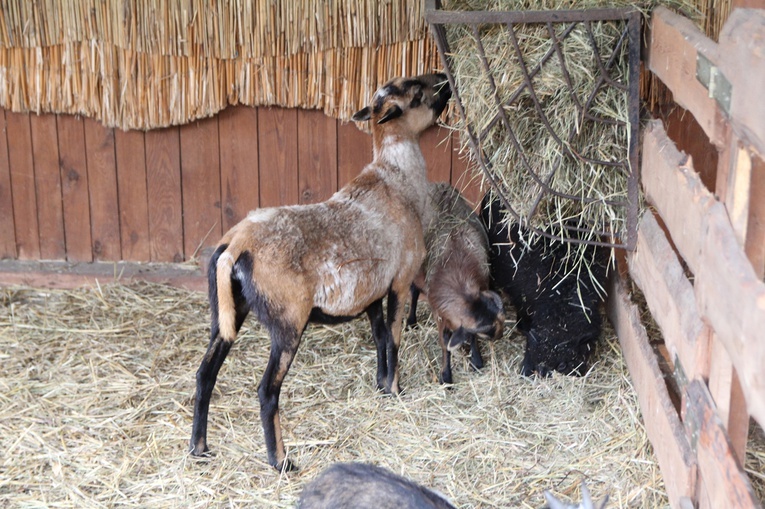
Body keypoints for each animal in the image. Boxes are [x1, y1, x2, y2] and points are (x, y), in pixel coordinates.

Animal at [189, 73, 450, 470]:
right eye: (417, 92)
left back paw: (199, 449)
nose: (445, 78)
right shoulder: (400, 280)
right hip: (288, 321)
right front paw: (395, 389)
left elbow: (379, 337)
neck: (396, 181)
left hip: (227, 311)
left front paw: (380, 385)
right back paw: (281, 461)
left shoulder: (371, 291)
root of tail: (237, 244)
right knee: (267, 390)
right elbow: (394, 338)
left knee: (205, 374)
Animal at [402, 181, 504, 382]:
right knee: (414, 290)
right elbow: (445, 343)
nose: (501, 335)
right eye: (487, 331)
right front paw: (446, 376)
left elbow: (469, 338)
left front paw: (476, 360)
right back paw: (411, 321)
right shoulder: (440, 315)